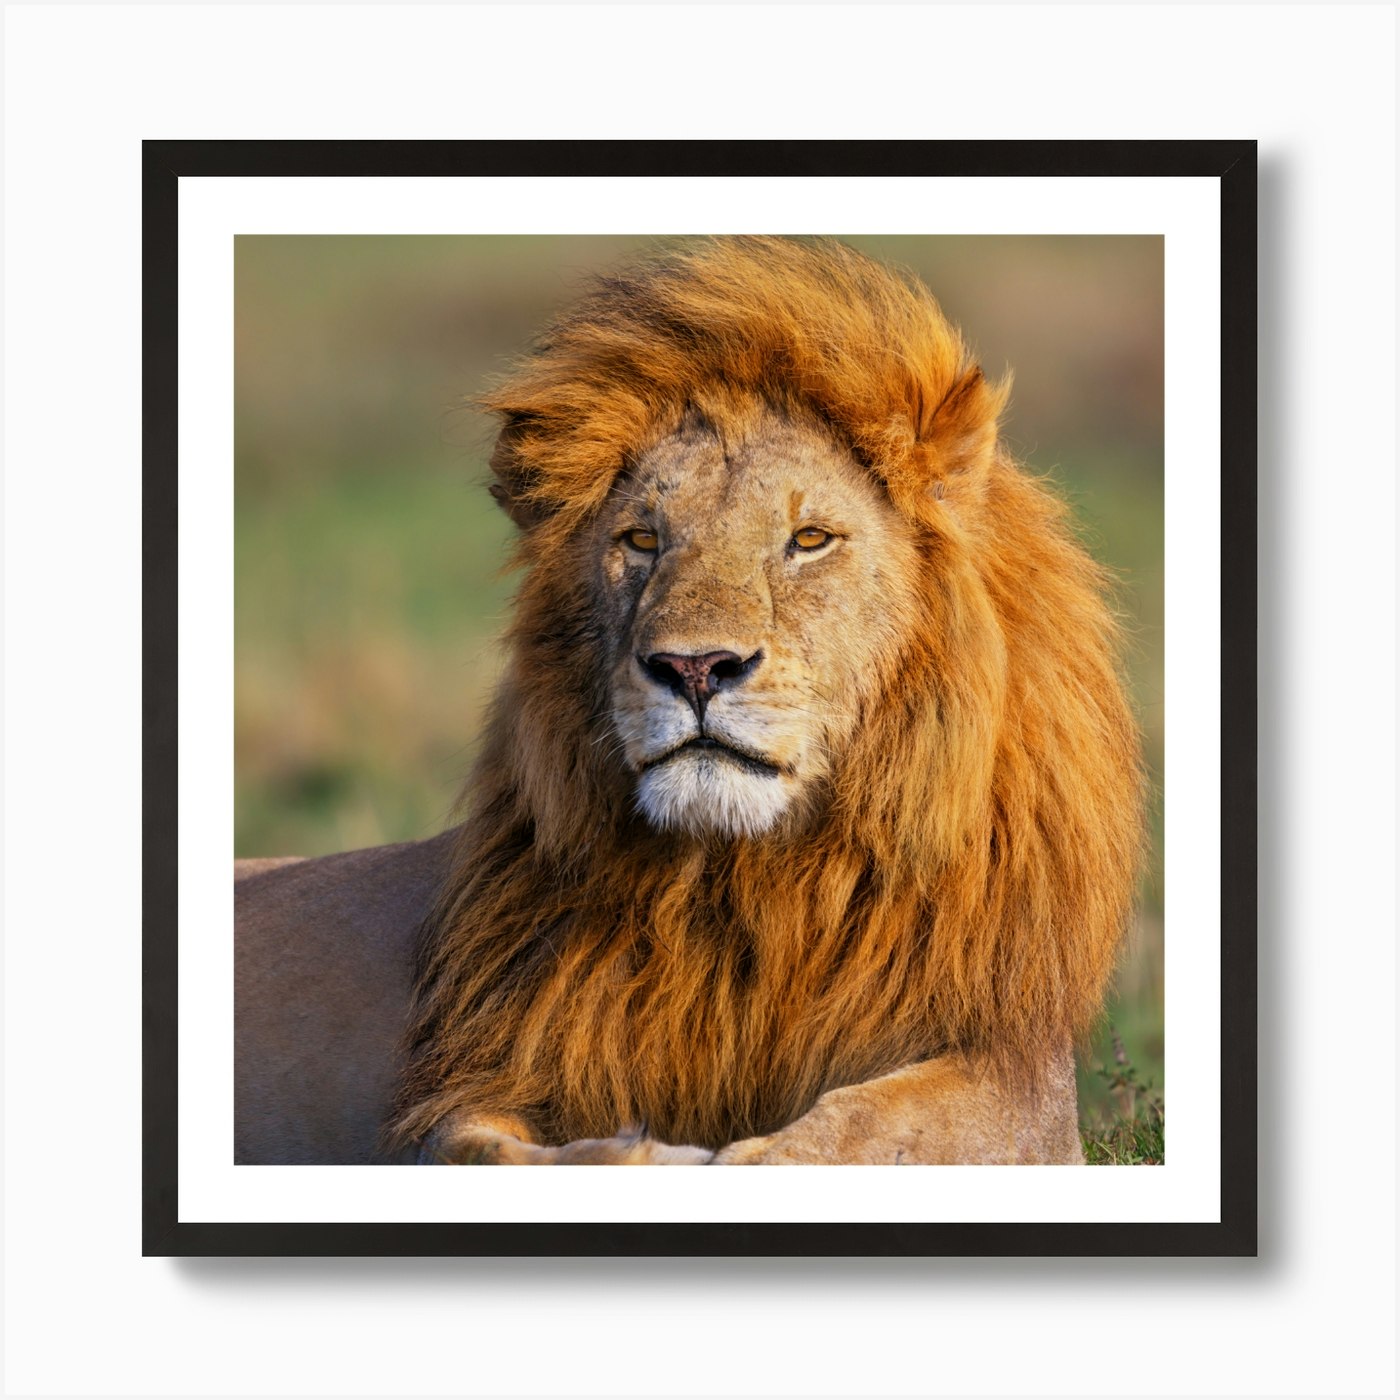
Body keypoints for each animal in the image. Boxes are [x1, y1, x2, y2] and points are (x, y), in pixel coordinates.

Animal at [235, 237, 1143, 1166]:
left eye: (809, 539)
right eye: (642, 539)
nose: (695, 667)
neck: (743, 883)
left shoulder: (1016, 1082)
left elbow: (850, 1132)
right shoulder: (477, 1079)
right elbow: (479, 1149)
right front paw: (634, 1153)